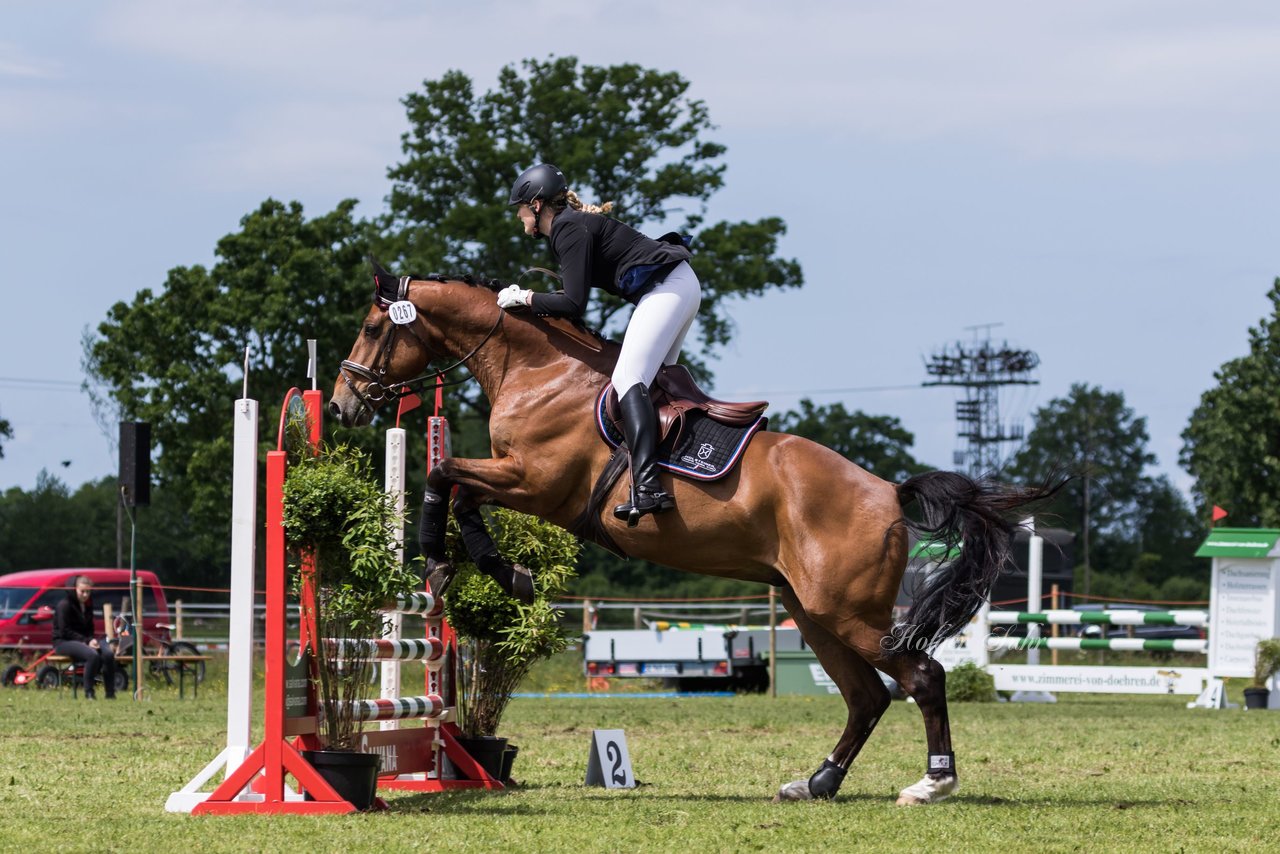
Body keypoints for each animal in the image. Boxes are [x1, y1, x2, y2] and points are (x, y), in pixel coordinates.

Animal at [327, 270, 1049, 804]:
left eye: (371, 328)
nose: (340, 404)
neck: (540, 372)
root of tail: (888, 493)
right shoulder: (518, 480)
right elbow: (458, 487)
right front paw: (484, 567)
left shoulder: (536, 482)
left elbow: (446, 474)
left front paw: (467, 564)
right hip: (812, 611)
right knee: (868, 695)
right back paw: (815, 782)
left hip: (847, 610)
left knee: (922, 677)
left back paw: (931, 783)